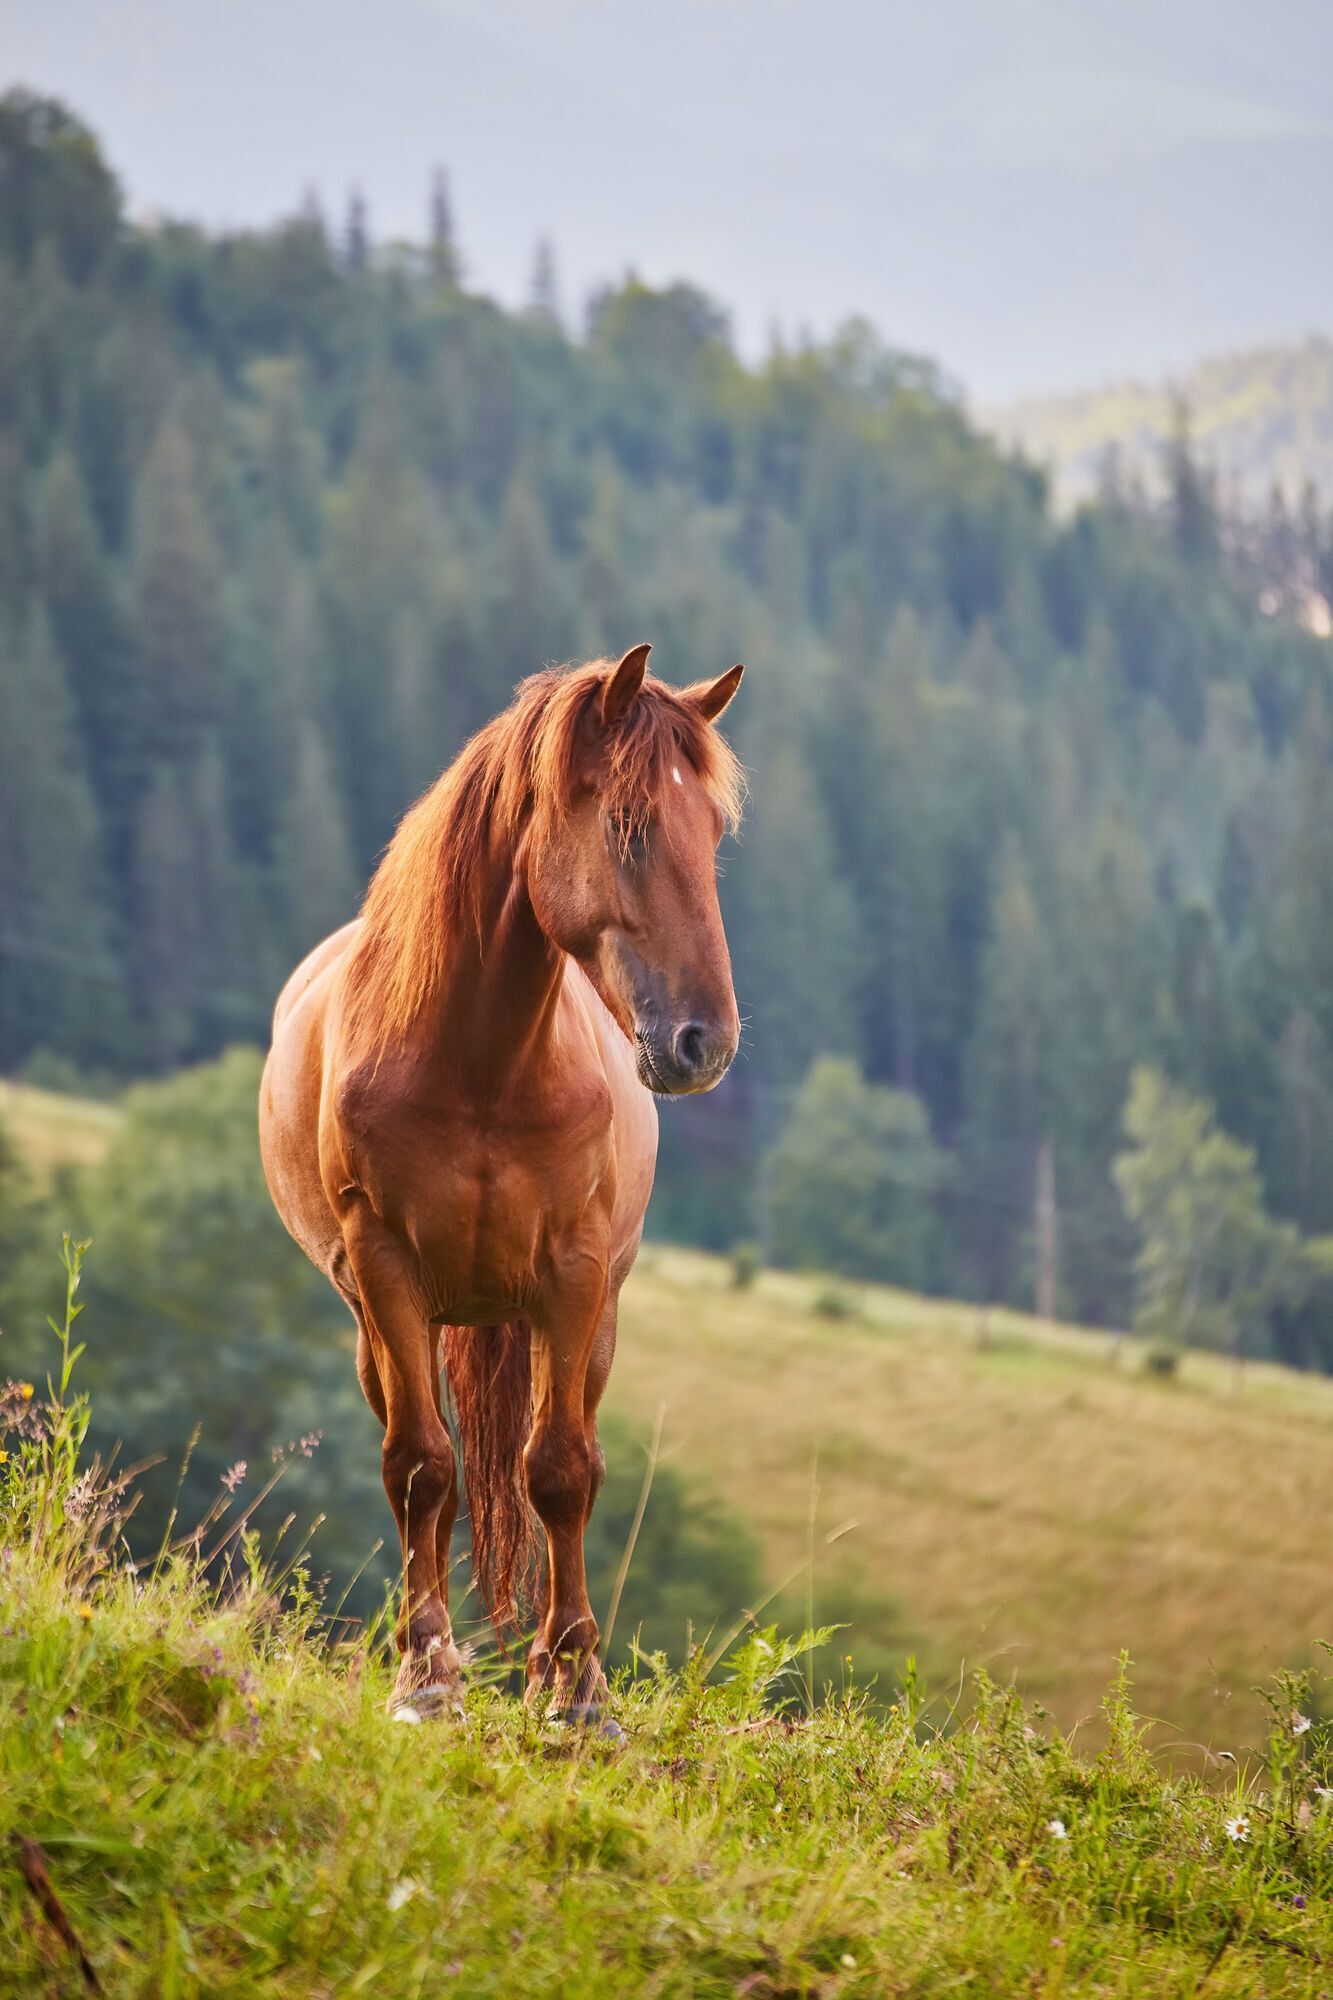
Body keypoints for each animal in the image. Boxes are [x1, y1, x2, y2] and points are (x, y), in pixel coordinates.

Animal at [254, 648, 740, 1728]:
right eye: (629, 825)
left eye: (716, 835)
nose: (707, 1042)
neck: (479, 1062)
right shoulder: (388, 1270)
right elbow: (421, 1466)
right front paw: (427, 1675)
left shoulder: (574, 1273)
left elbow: (558, 1472)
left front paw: (579, 1691)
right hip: (384, 1325)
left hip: (589, 1323)